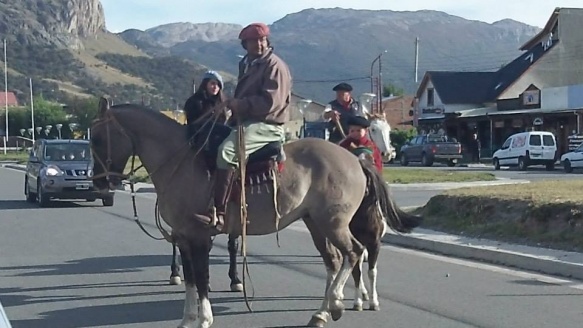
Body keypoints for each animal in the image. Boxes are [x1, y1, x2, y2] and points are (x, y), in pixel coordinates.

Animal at [90, 100, 420, 328]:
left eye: (97, 139)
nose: (100, 182)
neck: (181, 160)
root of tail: (355, 159)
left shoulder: (199, 237)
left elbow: (203, 278)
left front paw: (205, 318)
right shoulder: (183, 238)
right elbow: (191, 281)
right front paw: (187, 319)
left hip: (334, 223)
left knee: (355, 252)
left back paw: (338, 304)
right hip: (315, 223)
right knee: (336, 260)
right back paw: (323, 312)